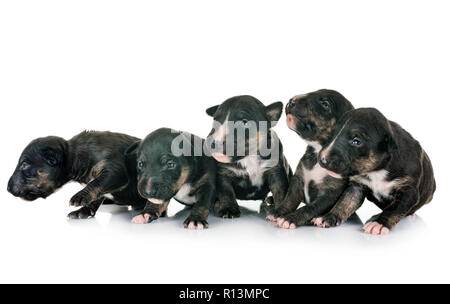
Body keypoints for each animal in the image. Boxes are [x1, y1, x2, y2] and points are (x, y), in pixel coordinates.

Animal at [7, 131, 147, 218]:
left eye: (24, 164)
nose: (7, 188)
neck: (75, 153)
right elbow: (95, 197)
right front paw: (82, 212)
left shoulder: (116, 168)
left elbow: (97, 182)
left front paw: (79, 197)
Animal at [268, 89, 356, 228]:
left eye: (325, 104)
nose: (291, 100)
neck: (318, 152)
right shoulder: (298, 180)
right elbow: (289, 200)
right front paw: (278, 212)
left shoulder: (329, 194)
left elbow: (309, 208)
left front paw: (290, 219)